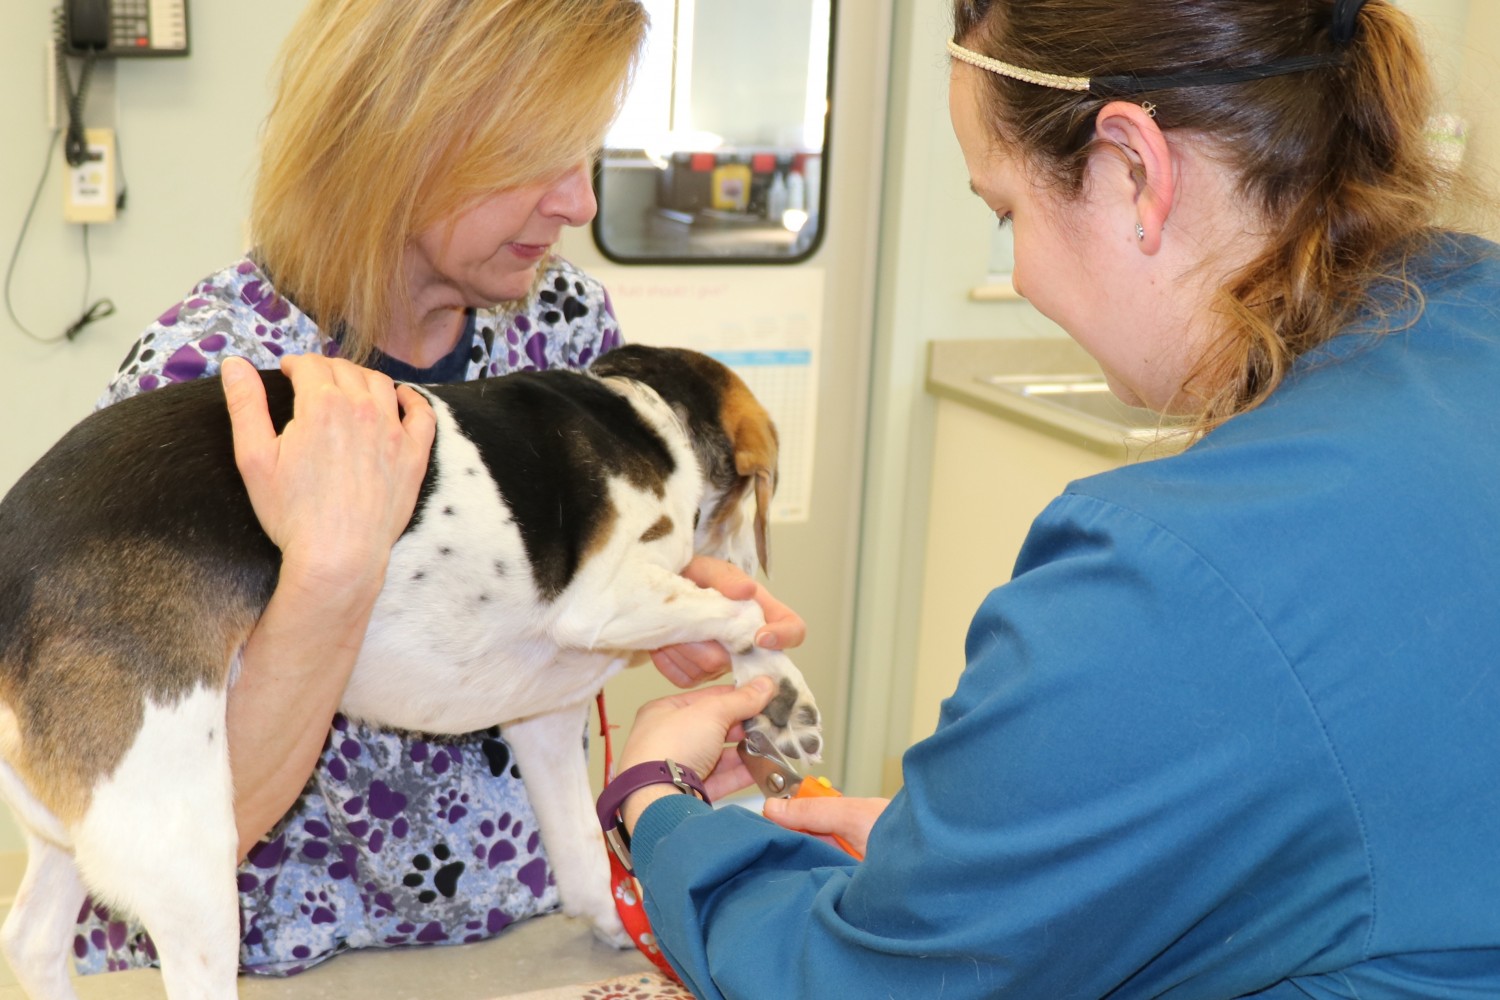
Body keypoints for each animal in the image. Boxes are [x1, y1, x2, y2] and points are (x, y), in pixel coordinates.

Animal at [0, 346, 822, 1000]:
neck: (647, 415)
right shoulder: (600, 600)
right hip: (181, 849)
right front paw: (779, 680)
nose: (757, 567)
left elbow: (582, 851)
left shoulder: (547, 720)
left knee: (31, 943)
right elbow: (723, 608)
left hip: (76, 829)